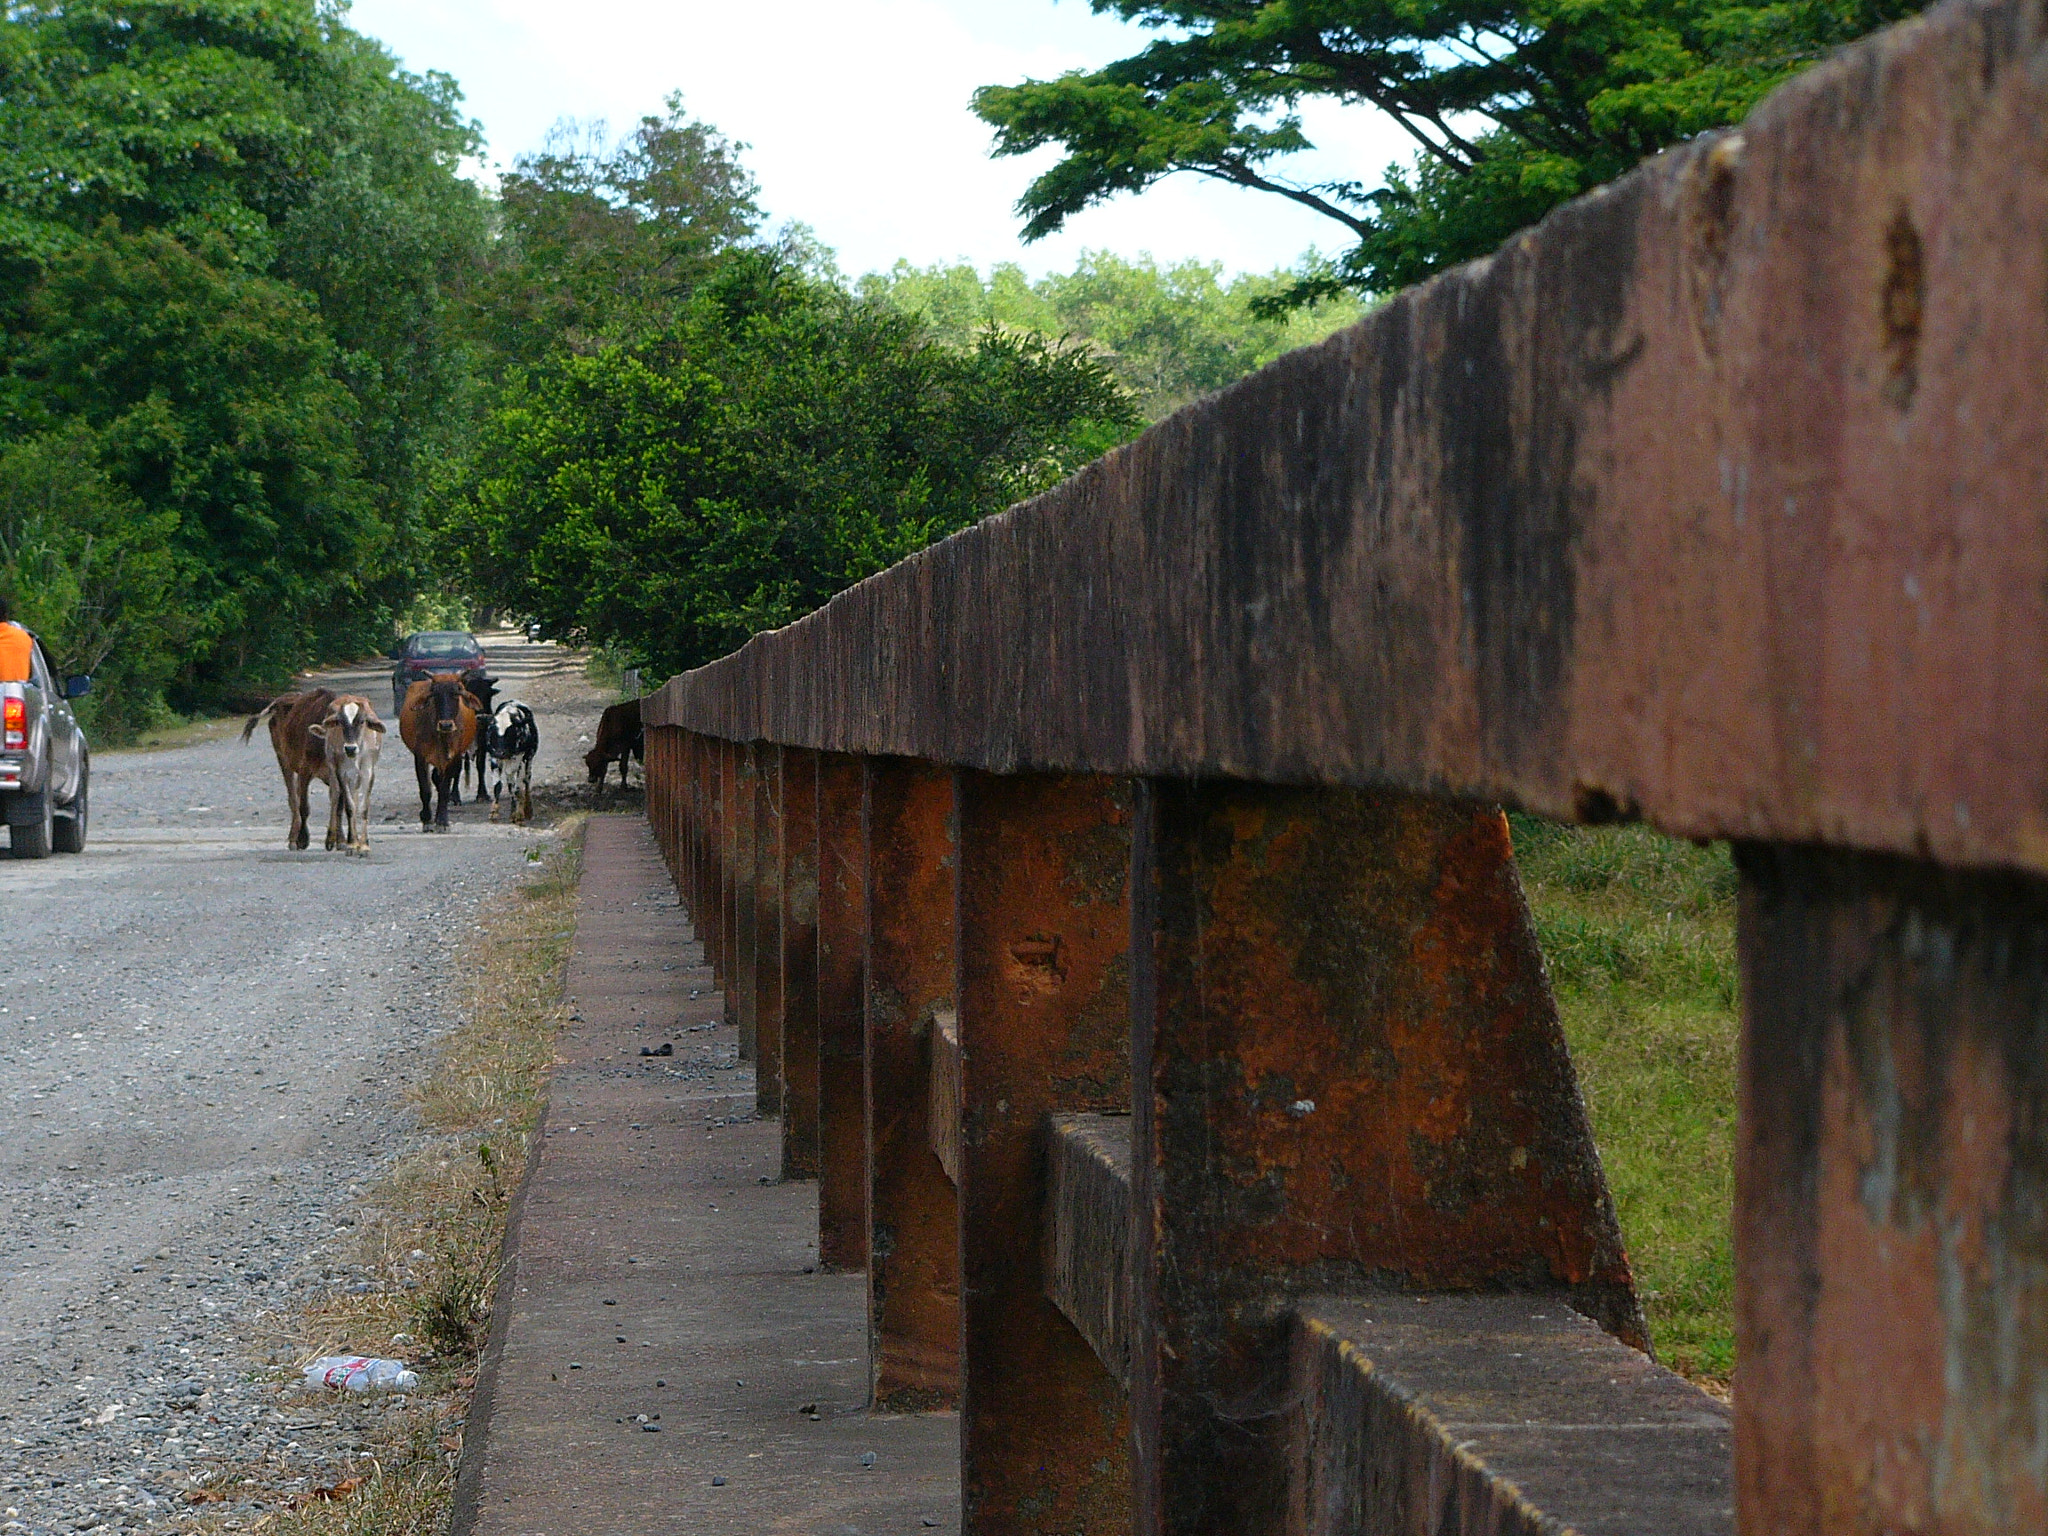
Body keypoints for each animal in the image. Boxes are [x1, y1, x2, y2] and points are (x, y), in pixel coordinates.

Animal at [243, 688, 335, 856]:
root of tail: (279, 700)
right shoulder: (305, 770)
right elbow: (304, 807)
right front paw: (302, 840)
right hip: (282, 758)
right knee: (293, 798)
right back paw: (293, 838)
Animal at [311, 696, 387, 856]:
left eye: (362, 721)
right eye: (340, 722)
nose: (350, 748)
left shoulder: (368, 772)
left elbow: (363, 807)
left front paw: (364, 845)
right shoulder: (342, 773)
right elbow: (349, 807)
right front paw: (352, 844)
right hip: (333, 768)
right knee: (335, 797)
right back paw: (333, 839)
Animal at [399, 675, 479, 835]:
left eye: (456, 693)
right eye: (434, 695)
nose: (446, 725)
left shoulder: (453, 759)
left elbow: (444, 789)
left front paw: (442, 822)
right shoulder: (420, 757)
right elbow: (425, 789)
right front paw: (427, 820)